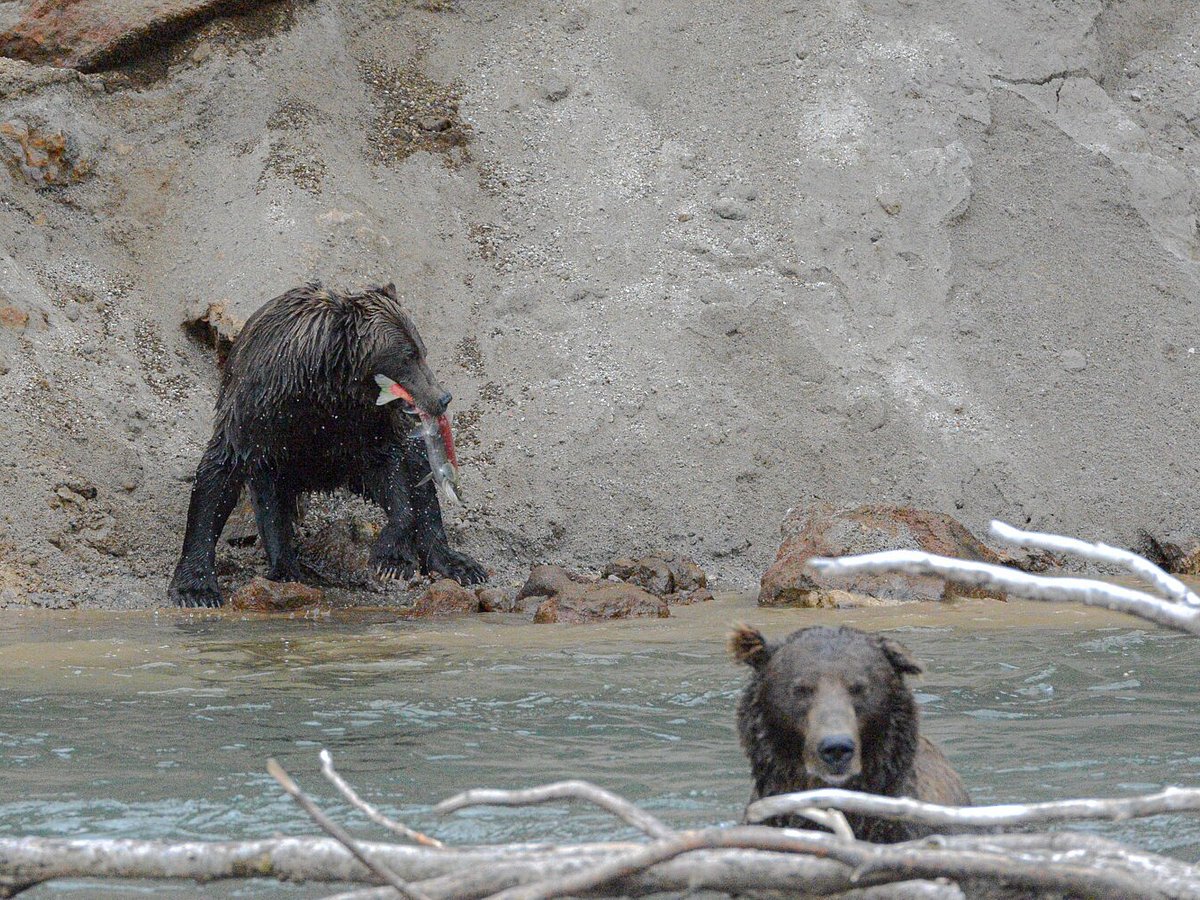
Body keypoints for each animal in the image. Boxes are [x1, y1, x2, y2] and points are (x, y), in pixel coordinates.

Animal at [168, 283, 487, 607]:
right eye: (407, 355)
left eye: (422, 351)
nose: (442, 397)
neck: (323, 387)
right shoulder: (257, 410)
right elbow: (220, 477)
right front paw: (196, 588)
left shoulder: (364, 423)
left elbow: (393, 476)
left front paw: (390, 557)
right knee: (270, 498)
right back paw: (286, 568)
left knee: (421, 479)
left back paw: (456, 563)